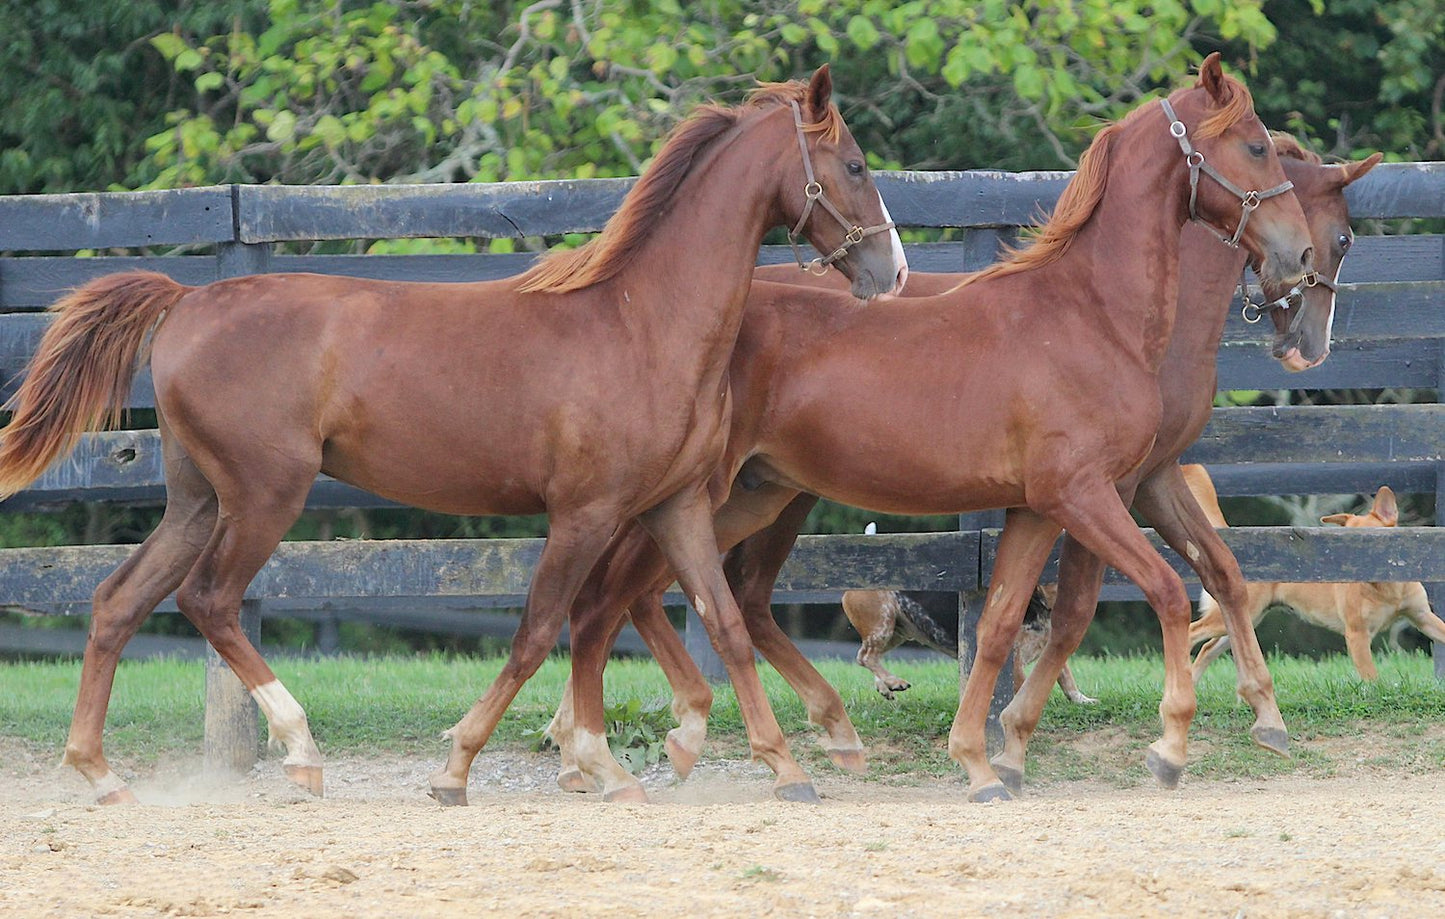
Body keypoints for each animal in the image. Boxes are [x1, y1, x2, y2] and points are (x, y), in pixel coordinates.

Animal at [0, 66, 906, 805]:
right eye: (856, 166)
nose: (892, 274)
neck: (640, 323)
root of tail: (186, 299)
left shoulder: (675, 504)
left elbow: (720, 623)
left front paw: (782, 767)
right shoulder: (584, 513)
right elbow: (542, 630)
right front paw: (468, 766)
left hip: (196, 498)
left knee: (118, 601)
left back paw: (100, 772)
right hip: (263, 494)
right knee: (211, 600)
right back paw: (301, 750)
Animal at [542, 53, 1315, 802]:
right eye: (1255, 147)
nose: (1299, 258)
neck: (1089, 314)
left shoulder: (1038, 508)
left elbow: (999, 626)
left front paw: (983, 762)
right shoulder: (1085, 495)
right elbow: (1162, 592)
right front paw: (1169, 746)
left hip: (755, 496)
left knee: (687, 596)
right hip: (700, 497)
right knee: (616, 598)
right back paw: (631, 752)